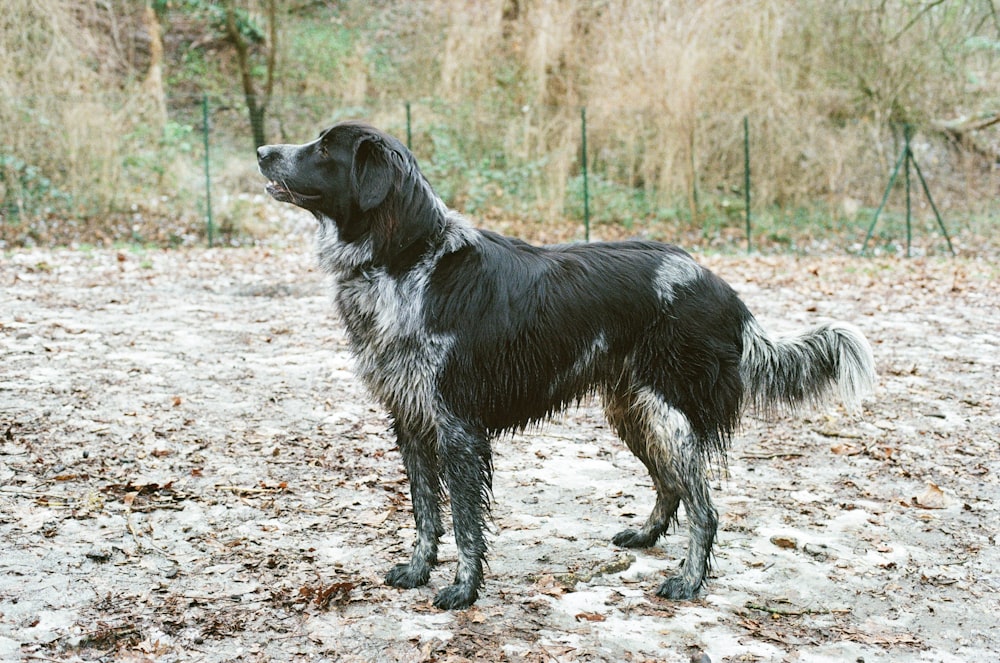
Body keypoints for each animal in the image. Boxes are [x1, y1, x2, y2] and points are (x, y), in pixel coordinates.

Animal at [260, 122, 876, 608]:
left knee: (705, 508)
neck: (406, 260)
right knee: (671, 486)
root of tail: (724, 290)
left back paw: (688, 582)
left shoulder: (457, 428)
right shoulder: (410, 420)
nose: (263, 149)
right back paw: (646, 538)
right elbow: (425, 515)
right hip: (634, 411)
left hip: (668, 412)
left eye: (323, 148)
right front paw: (417, 571)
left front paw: (463, 590)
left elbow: (462, 523)